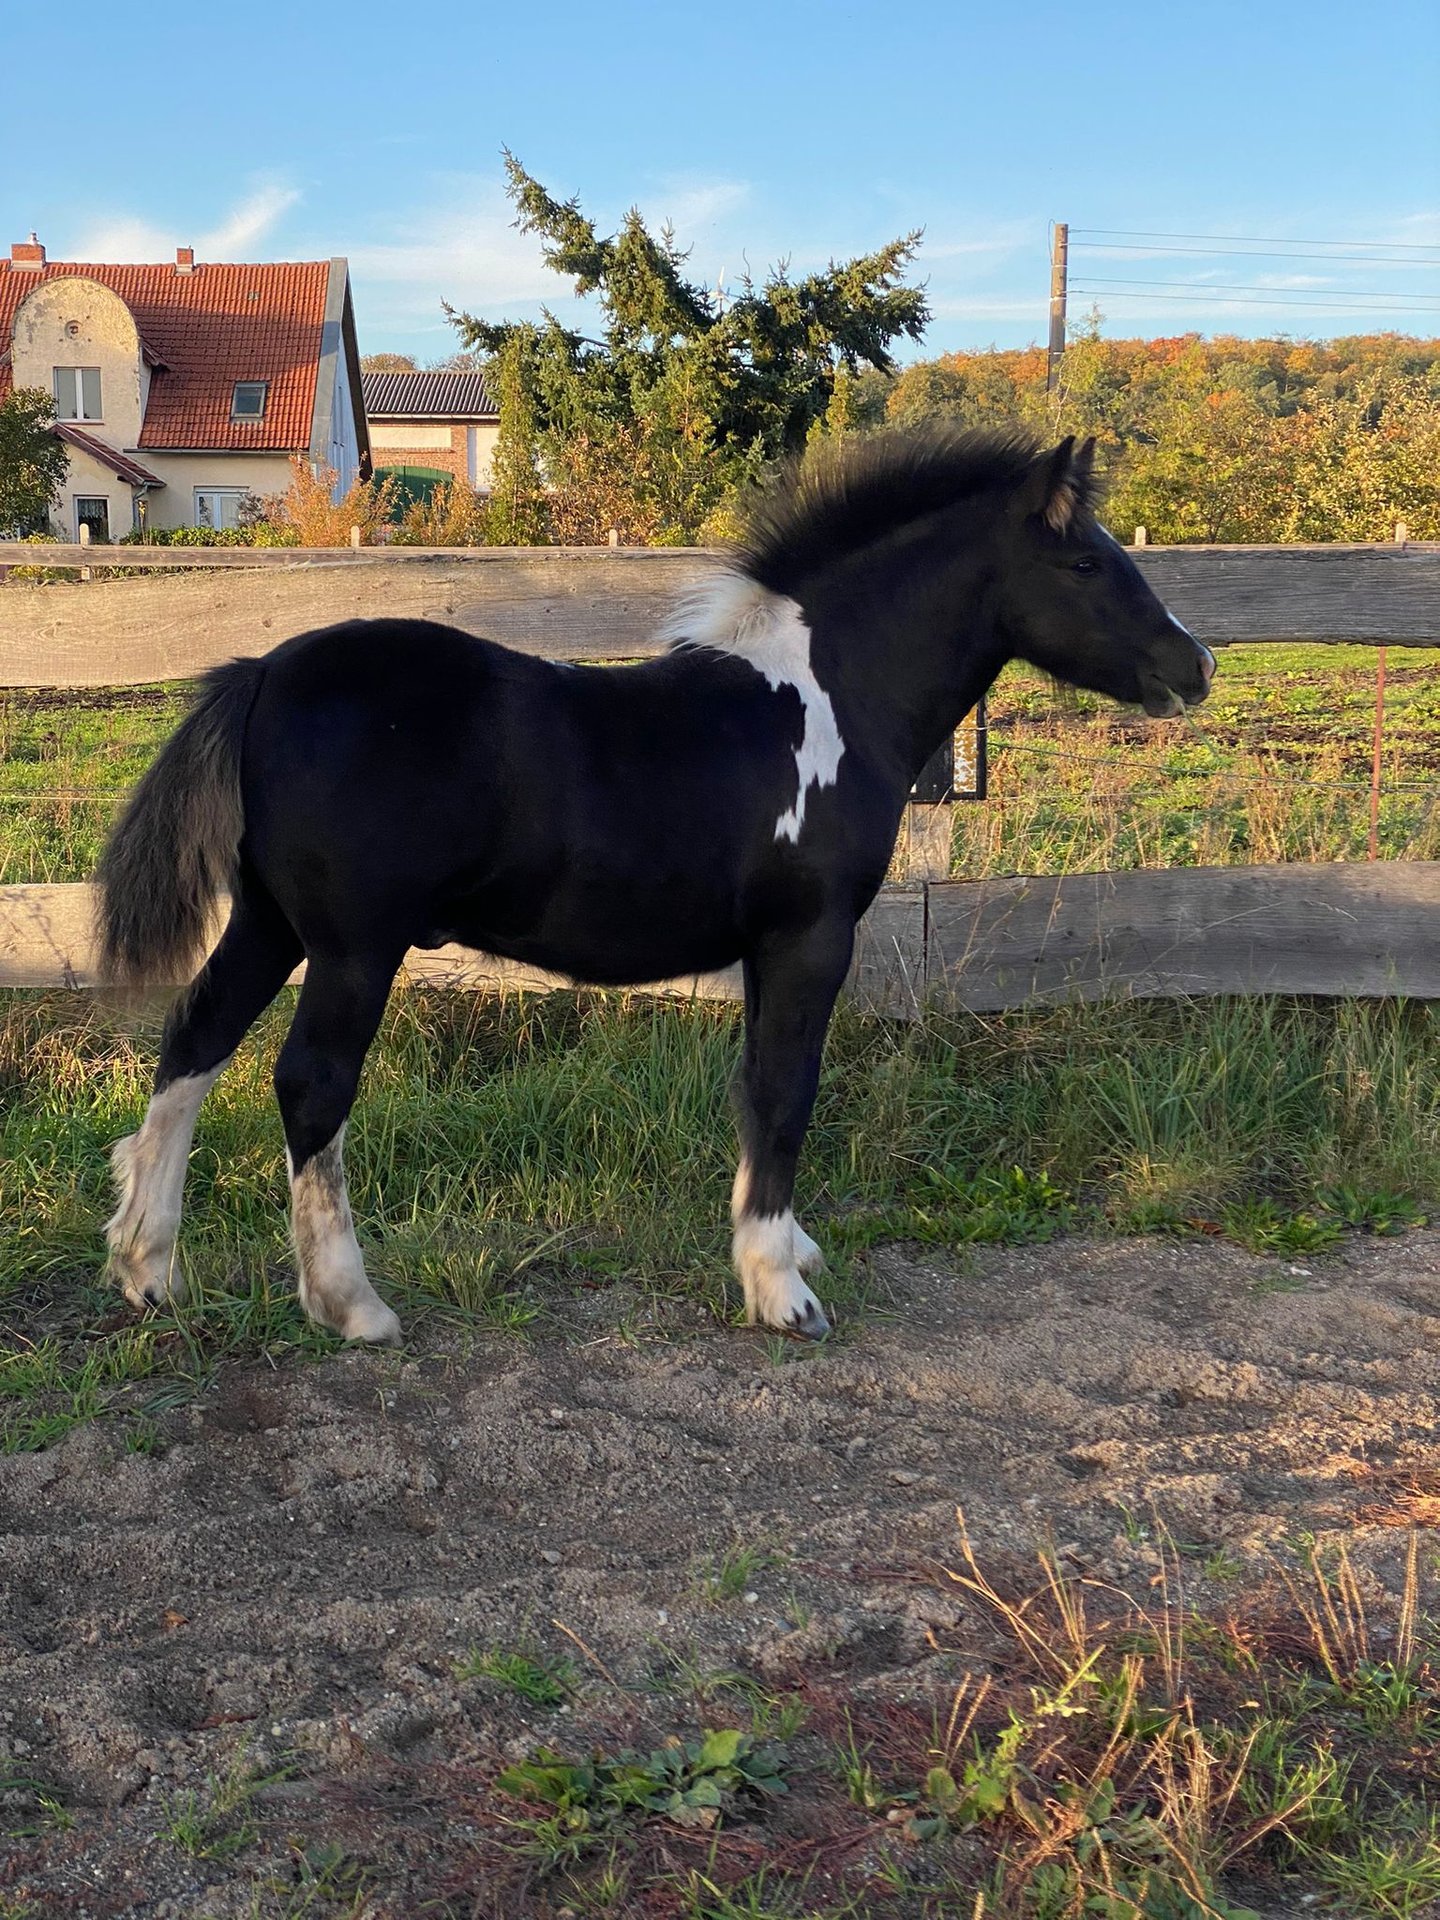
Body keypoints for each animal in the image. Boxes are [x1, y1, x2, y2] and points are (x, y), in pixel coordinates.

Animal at [96, 428, 1213, 1344]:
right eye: (1085, 560)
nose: (1193, 665)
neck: (820, 703)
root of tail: (265, 673)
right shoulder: (811, 936)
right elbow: (785, 1089)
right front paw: (781, 1293)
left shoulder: (769, 946)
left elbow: (759, 1090)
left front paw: (784, 1251)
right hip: (353, 947)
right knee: (310, 1085)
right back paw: (351, 1304)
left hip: (272, 923)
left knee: (194, 1041)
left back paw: (149, 1271)